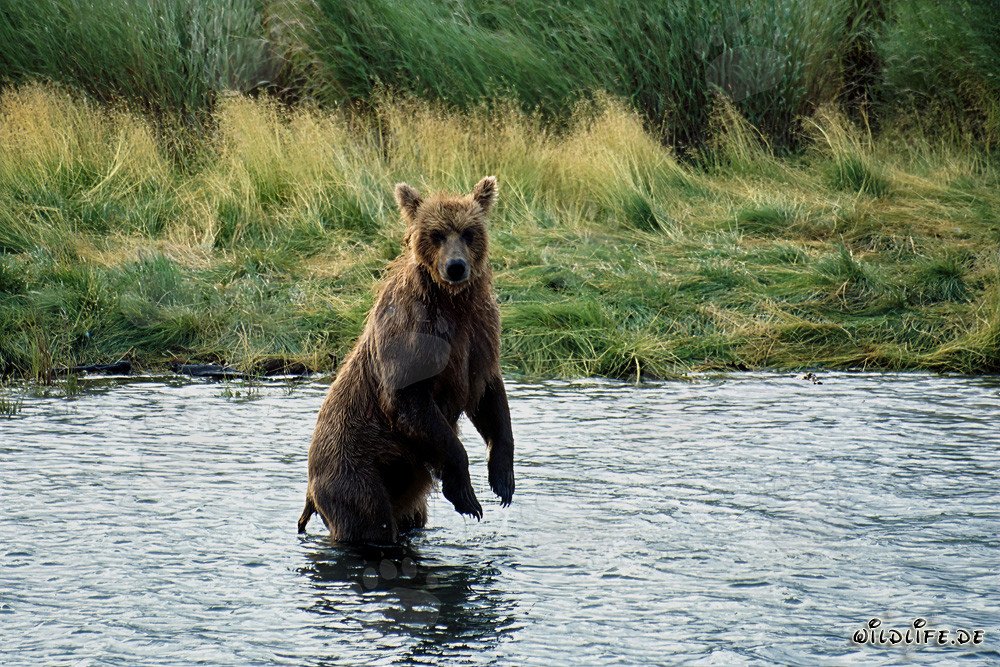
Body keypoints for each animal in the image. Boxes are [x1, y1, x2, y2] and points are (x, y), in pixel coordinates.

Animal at [297, 176, 515, 543]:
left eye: (469, 232)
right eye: (436, 234)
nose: (456, 267)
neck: (451, 302)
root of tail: (310, 489)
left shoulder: (480, 334)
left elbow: (489, 397)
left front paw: (502, 479)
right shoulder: (414, 333)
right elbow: (410, 400)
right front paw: (467, 496)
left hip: (403, 485)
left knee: (412, 516)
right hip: (357, 467)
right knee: (369, 520)